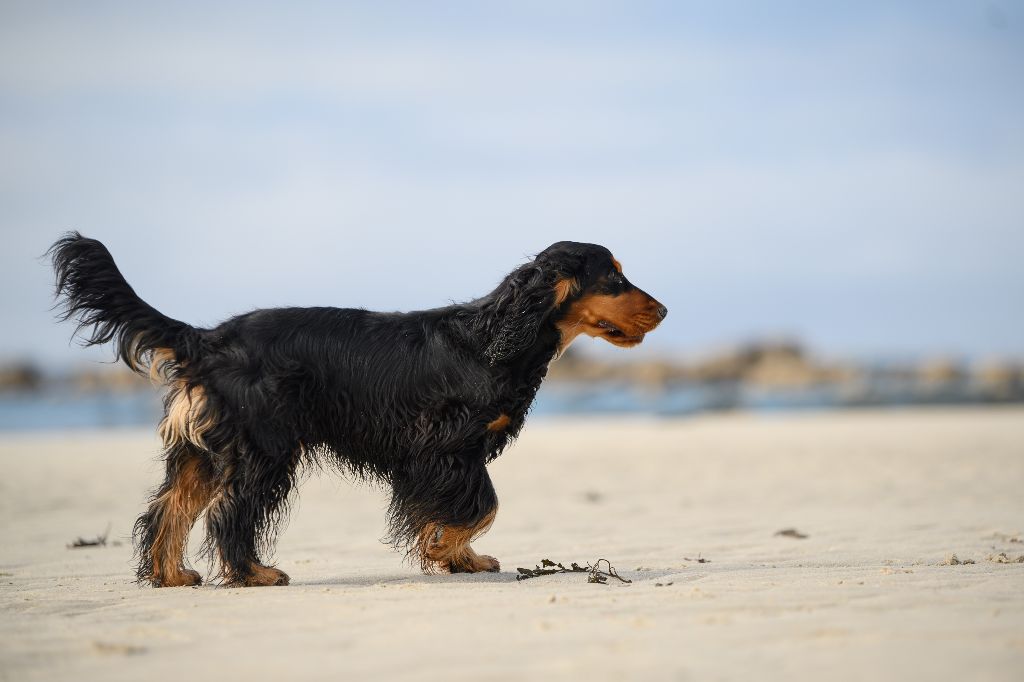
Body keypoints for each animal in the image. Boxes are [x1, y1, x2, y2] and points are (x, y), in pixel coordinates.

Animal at [51, 233, 667, 585]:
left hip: (207, 448)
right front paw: (447, 551)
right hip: (265, 447)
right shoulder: (443, 449)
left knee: (169, 508)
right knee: (232, 510)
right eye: (613, 276)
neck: (492, 339)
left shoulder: (449, 457)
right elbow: (481, 506)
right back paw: (254, 572)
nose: (662, 310)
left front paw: (460, 559)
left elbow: (464, 508)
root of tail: (208, 339)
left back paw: (171, 574)